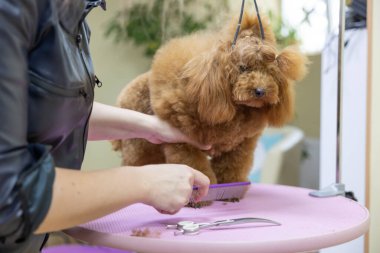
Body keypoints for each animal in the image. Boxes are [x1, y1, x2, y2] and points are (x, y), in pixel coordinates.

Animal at [111, 12, 308, 184]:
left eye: (270, 71)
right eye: (242, 68)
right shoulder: (184, 142)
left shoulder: (241, 145)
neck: (236, 107)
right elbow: (196, 166)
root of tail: (122, 97)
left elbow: (232, 167)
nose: (260, 91)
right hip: (138, 145)